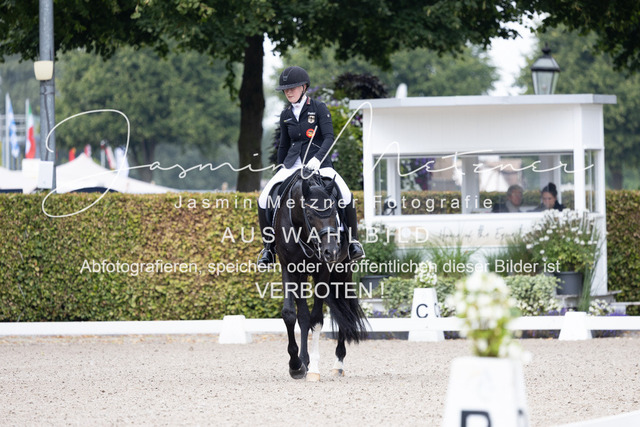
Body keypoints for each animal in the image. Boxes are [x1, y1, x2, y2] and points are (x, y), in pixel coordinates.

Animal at [272, 169, 367, 381]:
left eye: (334, 211)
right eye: (309, 213)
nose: (331, 251)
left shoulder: (323, 271)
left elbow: (316, 318)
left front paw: (313, 368)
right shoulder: (289, 268)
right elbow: (292, 315)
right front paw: (296, 365)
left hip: (343, 270)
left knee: (345, 309)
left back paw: (338, 363)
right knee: (304, 316)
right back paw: (304, 361)